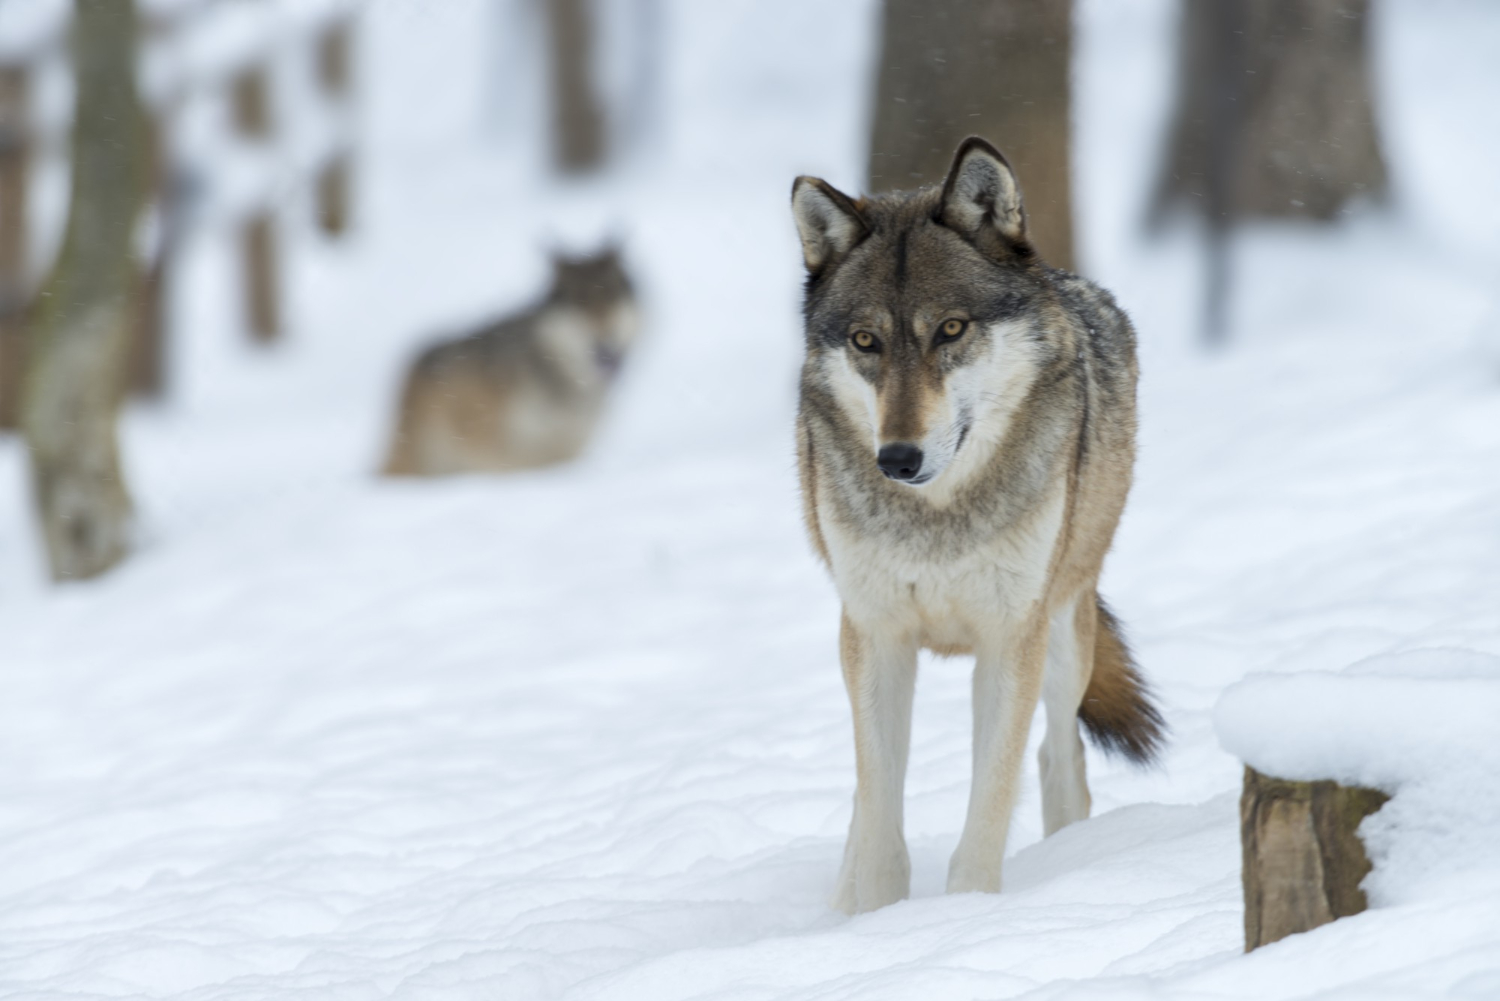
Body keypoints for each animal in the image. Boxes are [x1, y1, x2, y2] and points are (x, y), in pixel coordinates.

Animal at [791, 137, 1165, 914]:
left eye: (952, 329)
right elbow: (878, 809)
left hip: (1064, 627)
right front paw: (870, 917)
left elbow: (989, 805)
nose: (897, 459)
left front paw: (966, 914)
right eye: (866, 341)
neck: (937, 521)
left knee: (1059, 754)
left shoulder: (1009, 637)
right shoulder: (875, 635)